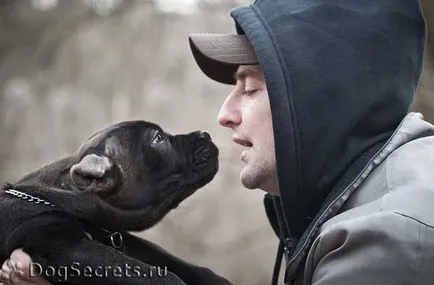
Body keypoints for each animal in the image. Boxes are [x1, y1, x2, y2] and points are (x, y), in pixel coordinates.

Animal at [0, 120, 232, 284]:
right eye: (158, 139)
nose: (205, 133)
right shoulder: (59, 243)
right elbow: (159, 276)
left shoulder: (127, 241)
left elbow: (176, 264)